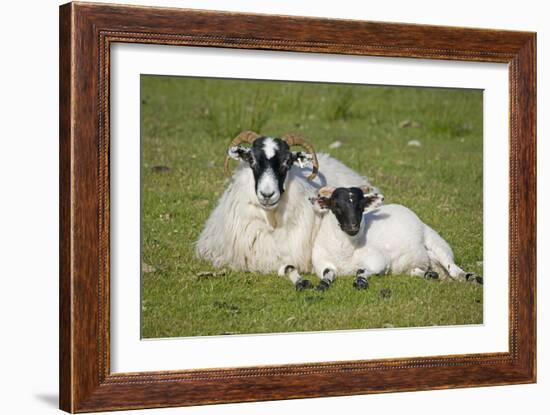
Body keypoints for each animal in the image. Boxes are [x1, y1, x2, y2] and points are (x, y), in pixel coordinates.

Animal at [310, 187, 484, 290]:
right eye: (336, 206)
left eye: (361, 206)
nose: (353, 227)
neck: (346, 252)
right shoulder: (322, 264)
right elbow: (327, 274)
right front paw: (322, 284)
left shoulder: (379, 260)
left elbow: (361, 270)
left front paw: (360, 282)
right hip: (415, 262)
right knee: (418, 270)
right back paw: (429, 274)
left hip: (436, 242)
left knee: (454, 269)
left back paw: (473, 278)